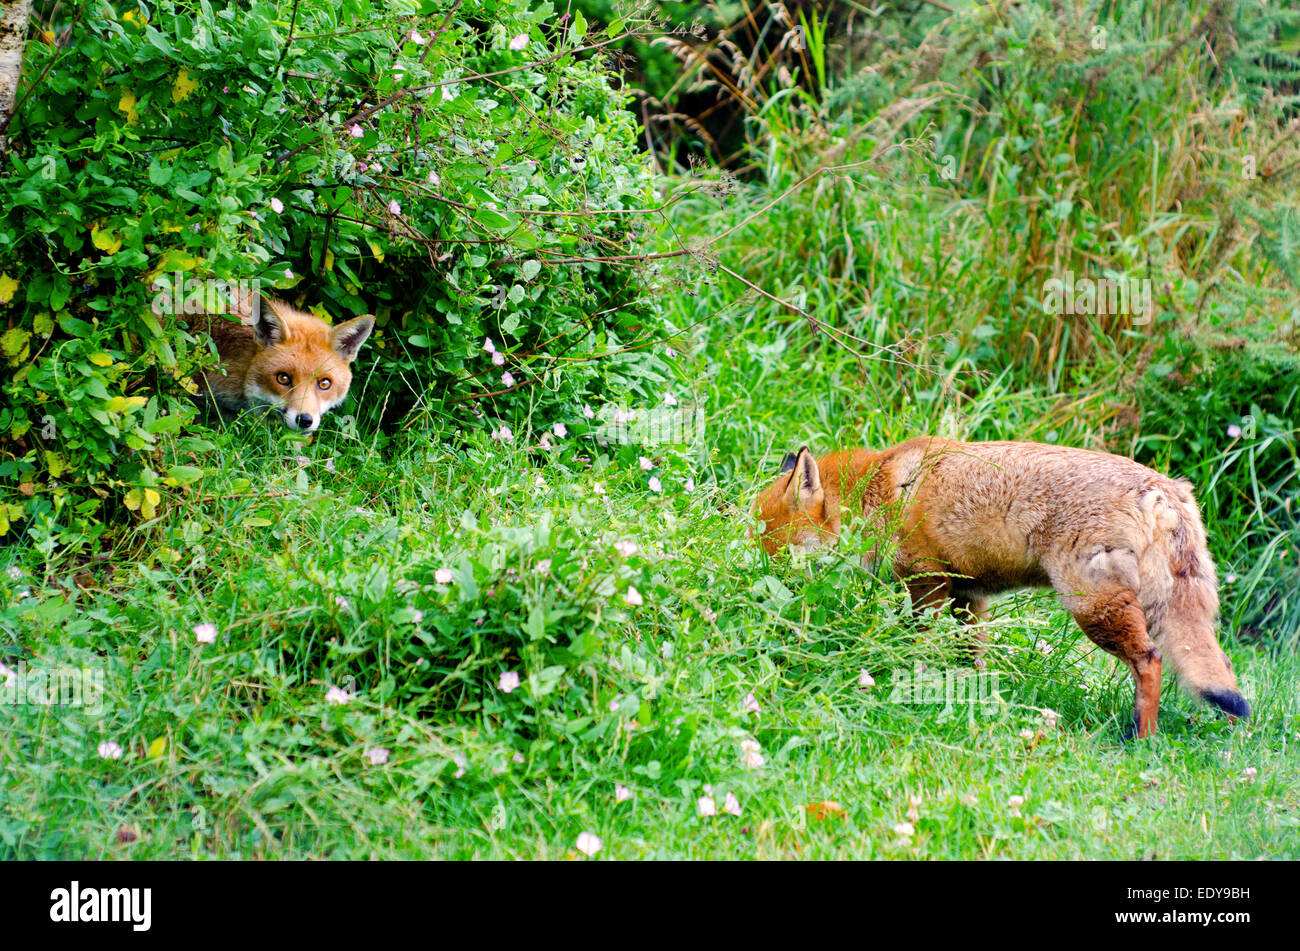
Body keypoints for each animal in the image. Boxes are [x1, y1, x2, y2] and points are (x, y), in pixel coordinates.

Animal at [754, 437, 1251, 738]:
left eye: (778, 552)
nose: (767, 594)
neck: (877, 494)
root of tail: (1164, 487)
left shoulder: (927, 584)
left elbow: (919, 647)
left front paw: (914, 682)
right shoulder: (969, 595)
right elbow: (969, 659)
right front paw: (968, 696)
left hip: (1093, 606)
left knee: (1150, 660)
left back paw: (1140, 738)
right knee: (1221, 667)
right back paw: (1230, 735)